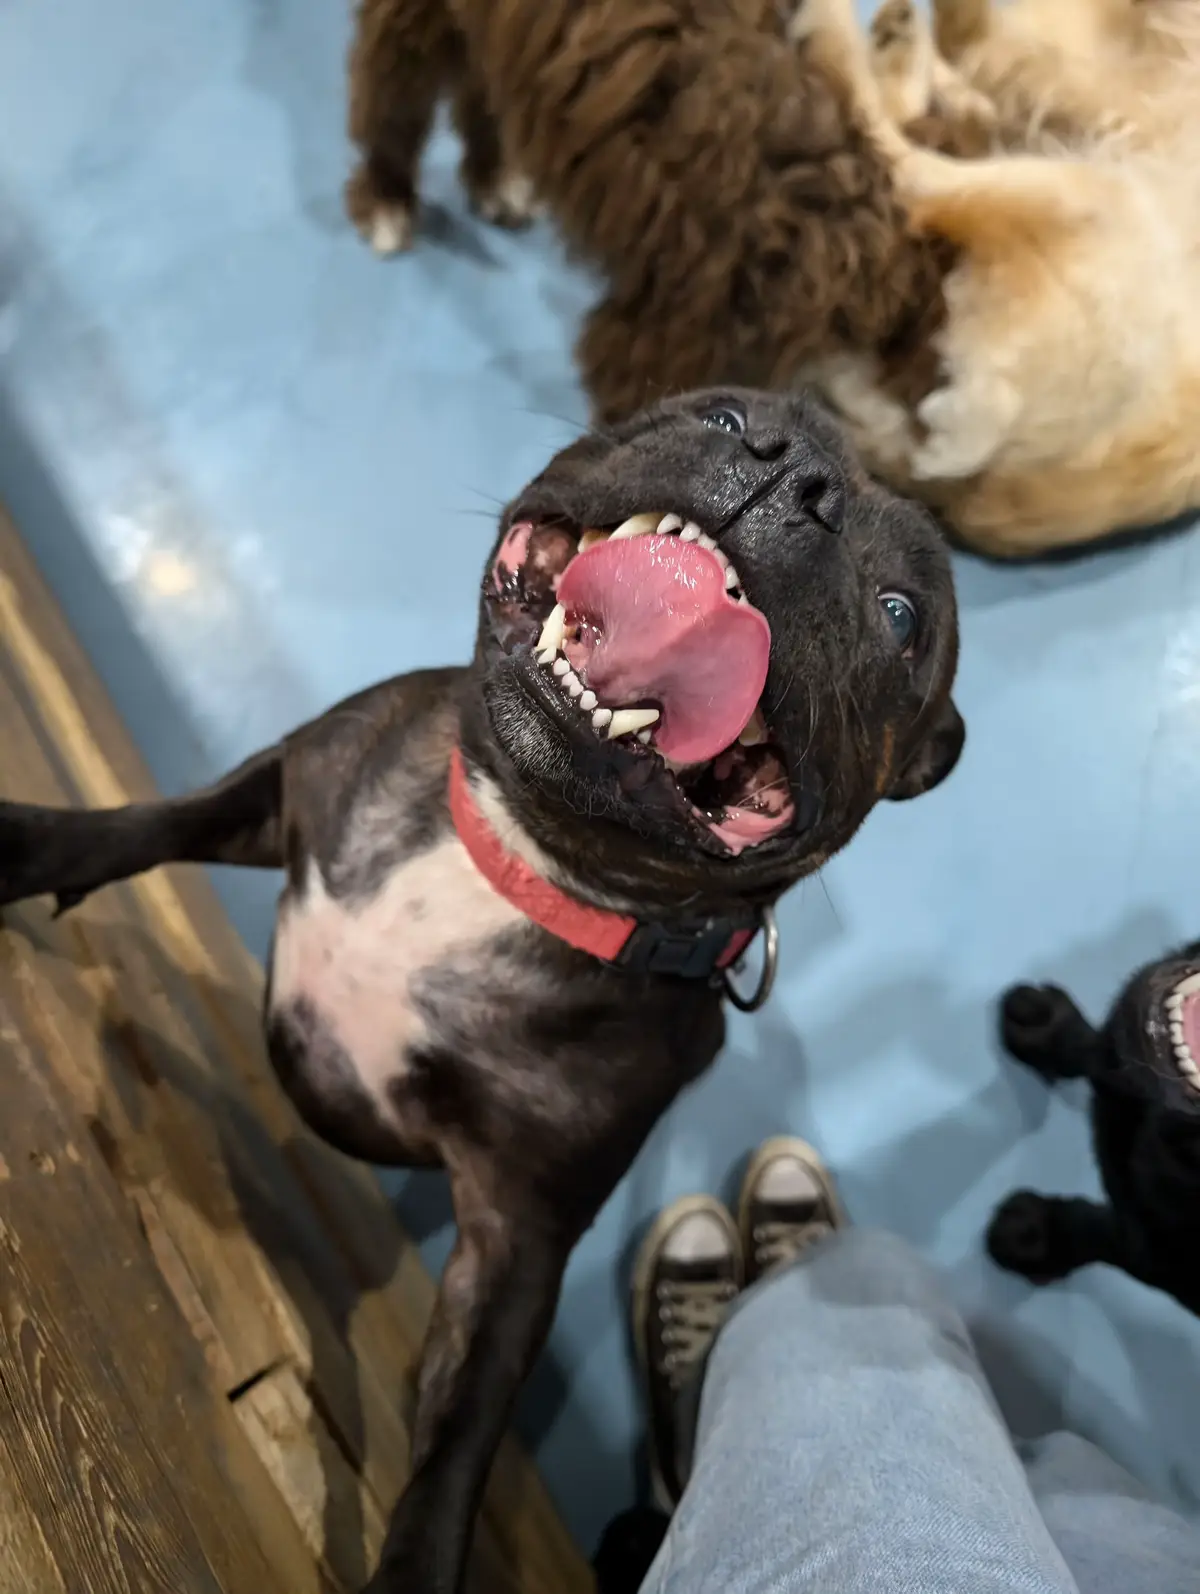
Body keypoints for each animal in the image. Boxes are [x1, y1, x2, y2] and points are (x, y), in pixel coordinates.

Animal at [0, 388, 962, 1594]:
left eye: (901, 615)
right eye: (726, 412)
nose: (796, 477)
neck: (517, 857)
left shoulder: (513, 1249)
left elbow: (456, 1445)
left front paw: (413, 1564)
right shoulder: (289, 783)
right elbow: (150, 823)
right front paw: (27, 844)